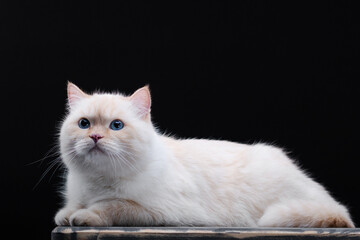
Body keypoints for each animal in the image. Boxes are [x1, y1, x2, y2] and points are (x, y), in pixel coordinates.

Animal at [54, 82, 356, 227]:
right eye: (84, 124)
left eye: (116, 126)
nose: (95, 137)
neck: (97, 181)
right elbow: (69, 209)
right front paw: (68, 214)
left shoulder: (157, 211)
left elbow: (111, 206)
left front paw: (85, 216)